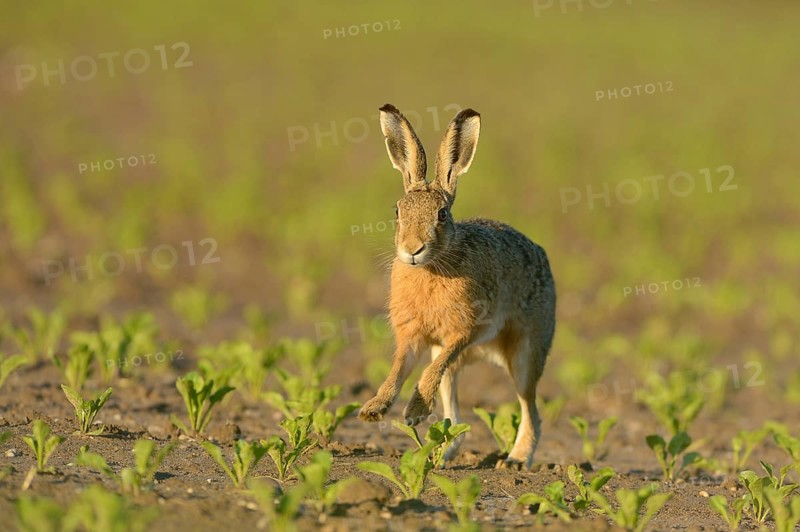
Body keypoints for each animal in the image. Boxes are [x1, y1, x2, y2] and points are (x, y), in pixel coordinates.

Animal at [358, 104, 556, 469]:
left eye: (442, 214)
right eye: (397, 211)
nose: (412, 248)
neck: (433, 267)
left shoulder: (466, 330)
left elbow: (430, 369)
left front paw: (414, 412)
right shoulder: (412, 336)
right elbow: (399, 369)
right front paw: (373, 409)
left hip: (526, 353)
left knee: (530, 410)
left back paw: (515, 460)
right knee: (455, 415)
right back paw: (439, 457)